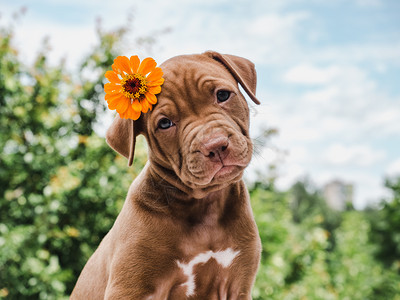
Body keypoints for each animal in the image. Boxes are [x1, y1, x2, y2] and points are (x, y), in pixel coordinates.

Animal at [70, 51, 260, 300]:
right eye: (165, 123)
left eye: (223, 95)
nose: (215, 145)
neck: (204, 206)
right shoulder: (130, 288)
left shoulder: (238, 286)